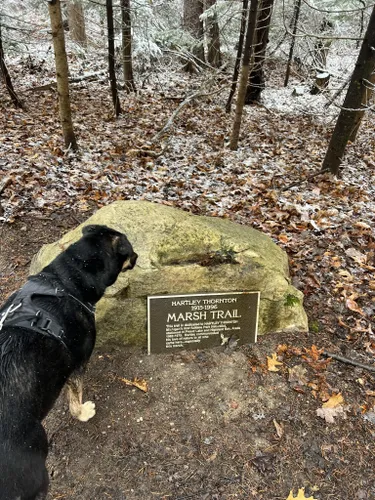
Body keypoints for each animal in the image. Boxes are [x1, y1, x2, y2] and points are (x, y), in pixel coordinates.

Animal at [0, 226, 137, 500]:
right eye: (130, 249)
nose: (137, 256)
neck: (65, 282)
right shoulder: (78, 361)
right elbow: (75, 399)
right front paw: (83, 413)